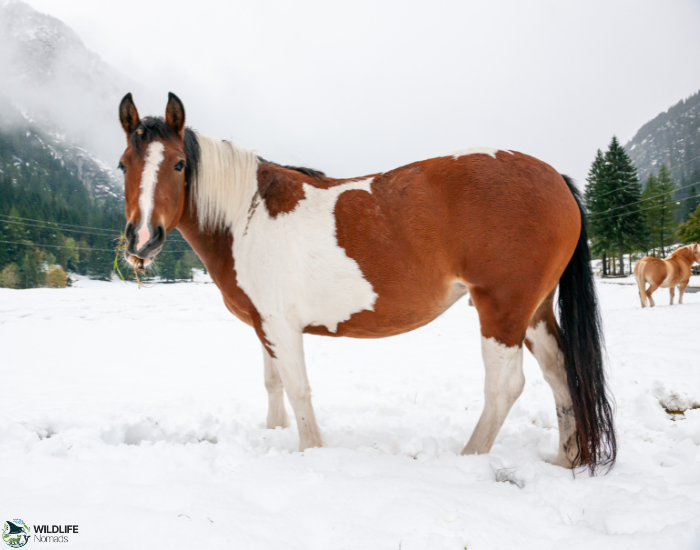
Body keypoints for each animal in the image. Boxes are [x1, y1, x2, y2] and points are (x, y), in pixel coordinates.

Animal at [117, 92, 616, 474]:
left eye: (179, 164)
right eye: (123, 165)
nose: (142, 238)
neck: (247, 215)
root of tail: (556, 179)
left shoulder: (280, 326)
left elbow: (298, 388)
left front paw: (311, 450)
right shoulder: (265, 326)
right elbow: (273, 383)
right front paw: (275, 432)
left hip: (503, 310)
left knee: (505, 386)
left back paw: (469, 458)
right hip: (534, 311)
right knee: (560, 371)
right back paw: (566, 458)